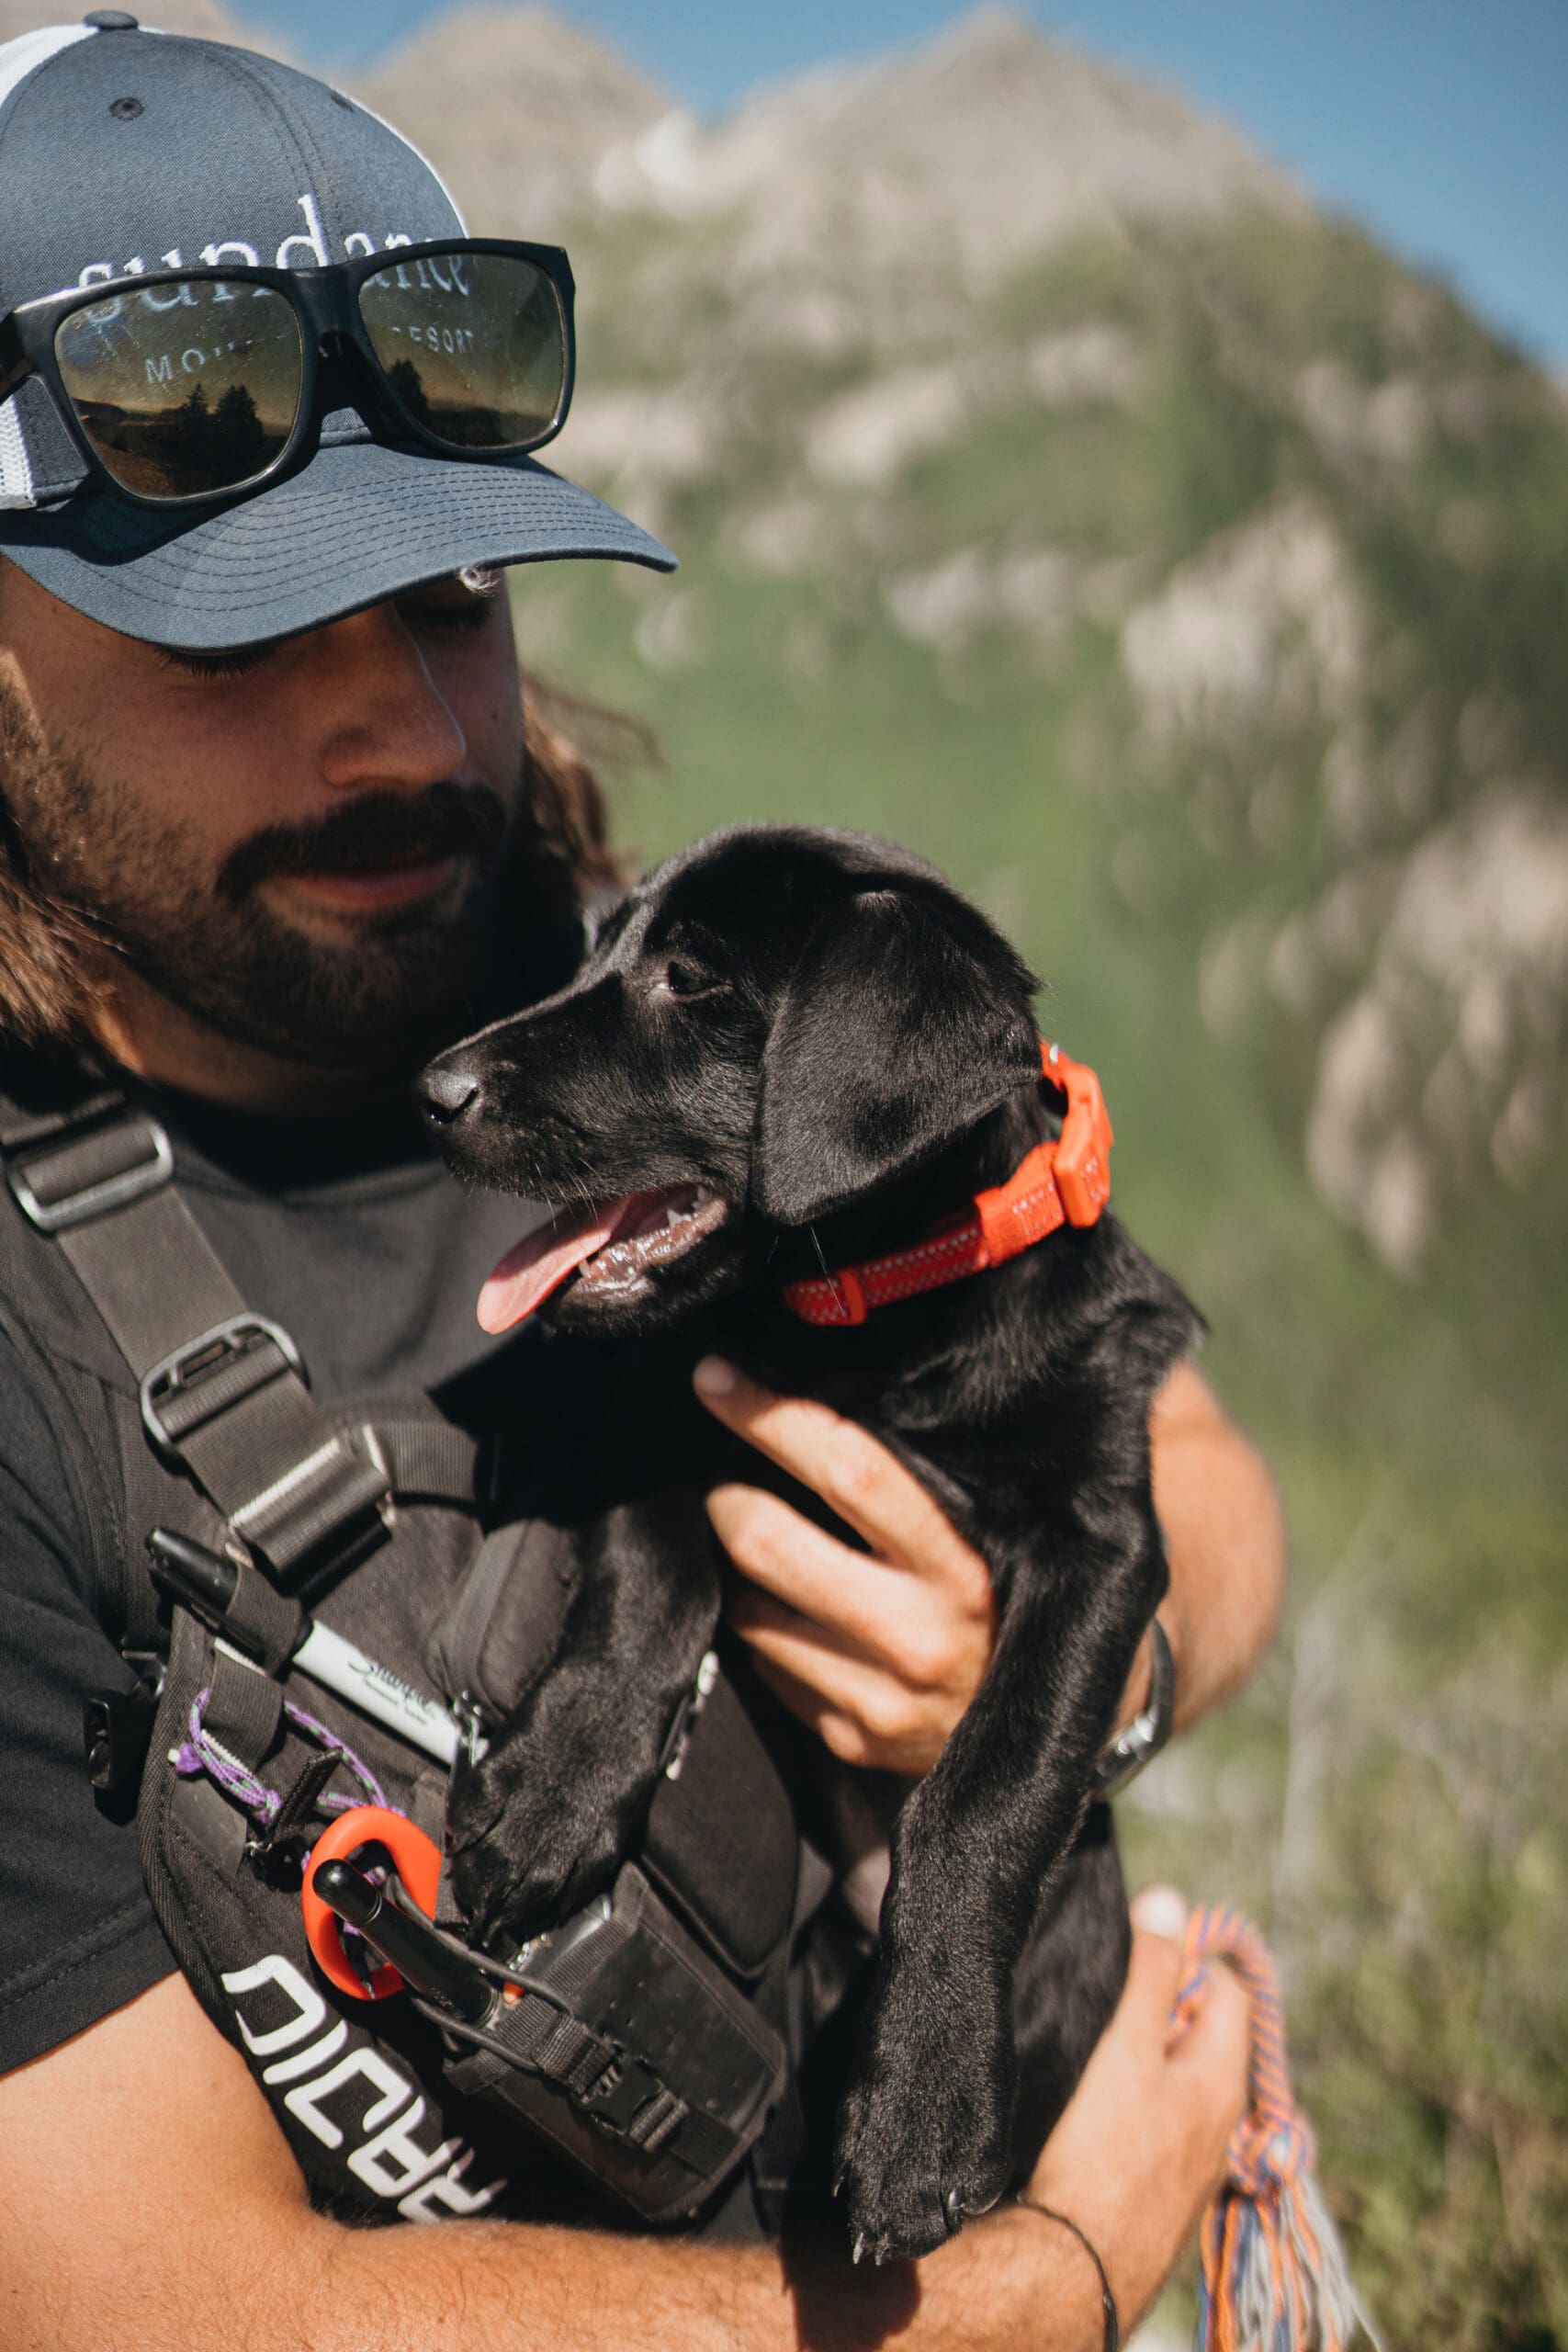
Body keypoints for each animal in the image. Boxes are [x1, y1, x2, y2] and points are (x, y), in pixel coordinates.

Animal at [415, 823, 1203, 2257]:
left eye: (688, 976)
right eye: (595, 945)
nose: (431, 1088)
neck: (874, 1327)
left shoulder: (1104, 1540)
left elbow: (992, 1781)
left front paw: (924, 2097)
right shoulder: (661, 1405)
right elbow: (648, 1582)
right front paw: (555, 1791)